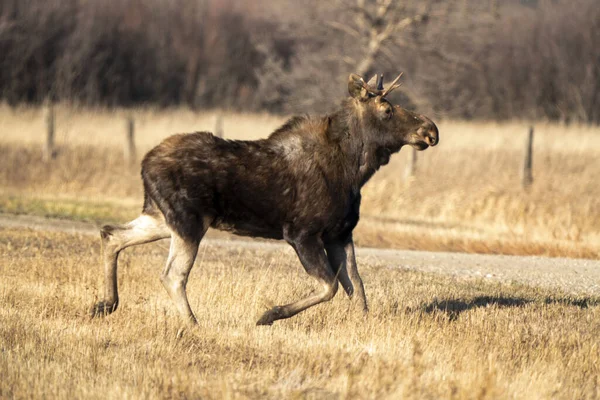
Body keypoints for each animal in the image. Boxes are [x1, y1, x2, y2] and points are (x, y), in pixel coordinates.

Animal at [92, 73, 440, 326]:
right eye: (387, 110)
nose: (431, 129)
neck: (355, 170)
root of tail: (144, 164)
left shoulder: (341, 233)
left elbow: (357, 287)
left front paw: (366, 327)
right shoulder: (301, 233)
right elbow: (330, 286)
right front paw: (269, 315)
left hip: (163, 217)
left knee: (112, 233)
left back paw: (106, 303)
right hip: (188, 221)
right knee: (172, 275)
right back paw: (193, 324)